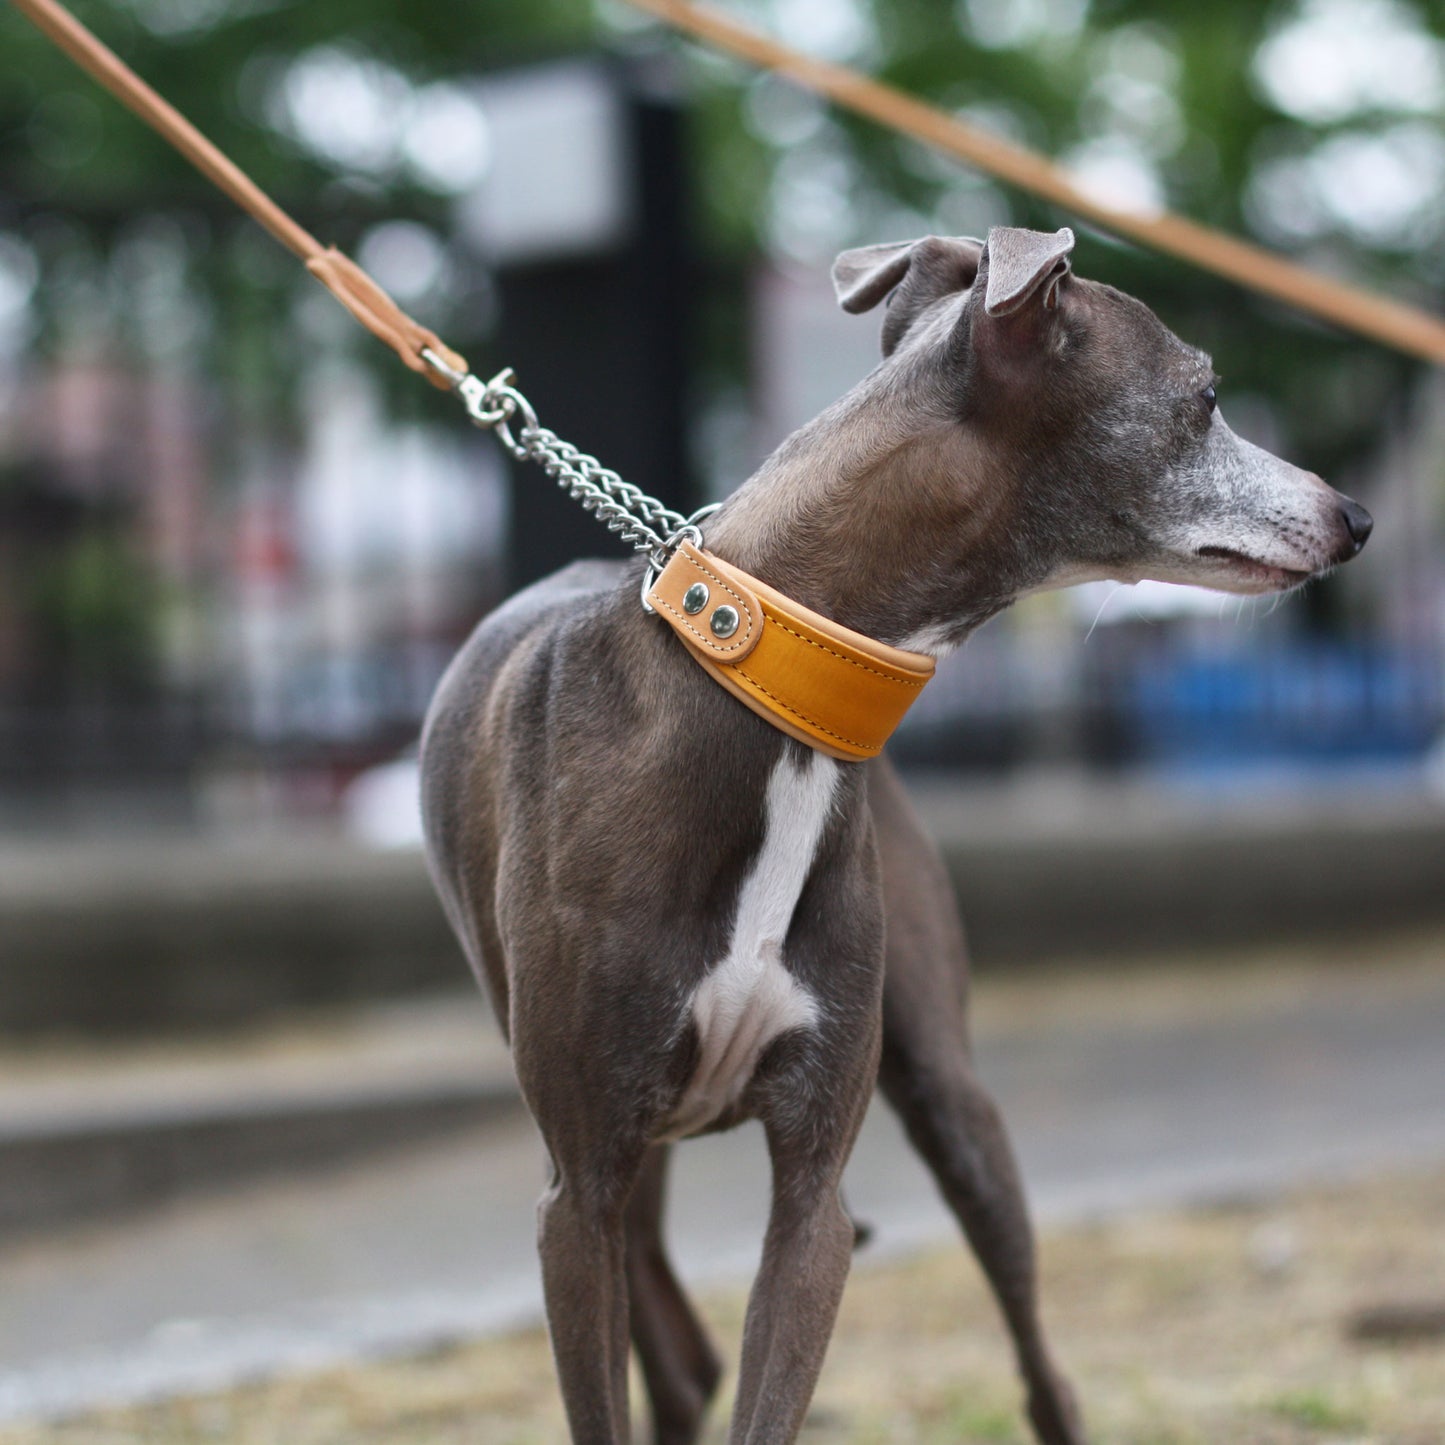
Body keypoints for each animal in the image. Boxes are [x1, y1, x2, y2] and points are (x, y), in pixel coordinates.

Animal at [416, 225, 1364, 1445]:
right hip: (618, 1162)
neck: (758, 682)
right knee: (674, 1349)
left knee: (1035, 1367)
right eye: (1203, 397)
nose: (1355, 518)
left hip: (950, 1101)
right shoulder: (576, 1195)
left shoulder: (811, 1189)